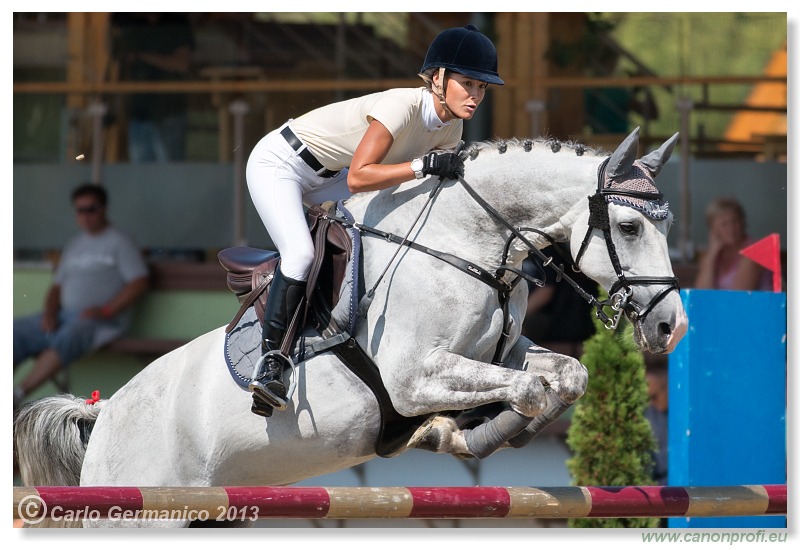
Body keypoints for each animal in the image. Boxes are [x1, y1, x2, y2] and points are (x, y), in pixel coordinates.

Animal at [14, 127, 688, 528]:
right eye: (629, 228)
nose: (669, 327)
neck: (465, 241)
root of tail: (104, 414)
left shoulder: (502, 351)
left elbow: (565, 376)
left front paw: (464, 432)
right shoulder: (415, 377)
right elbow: (523, 389)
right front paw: (458, 433)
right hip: (138, 505)